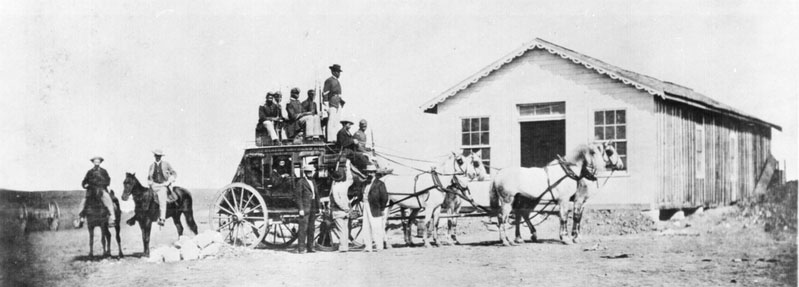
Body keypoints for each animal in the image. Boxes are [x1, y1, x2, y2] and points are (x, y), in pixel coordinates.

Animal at [488, 143, 624, 246]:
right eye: (610, 151)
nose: (621, 165)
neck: (569, 172)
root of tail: (498, 174)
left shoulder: (581, 201)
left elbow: (577, 217)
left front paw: (575, 237)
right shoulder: (568, 200)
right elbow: (566, 217)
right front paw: (567, 238)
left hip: (524, 200)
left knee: (520, 215)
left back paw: (521, 238)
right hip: (507, 201)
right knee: (502, 218)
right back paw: (506, 241)